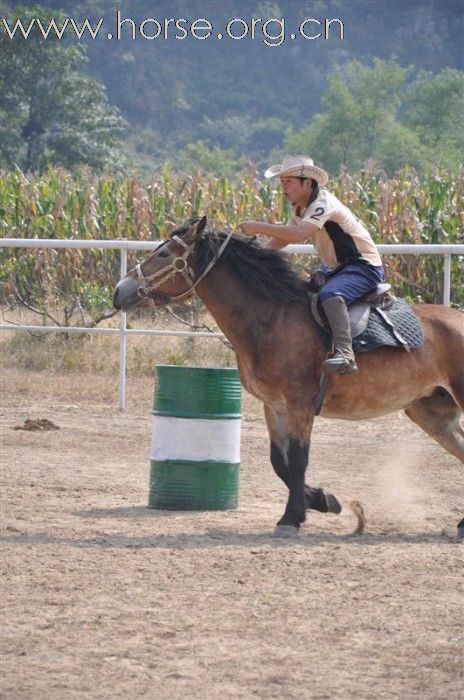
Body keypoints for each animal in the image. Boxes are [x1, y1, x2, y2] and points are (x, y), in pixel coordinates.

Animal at [113, 217, 464, 536]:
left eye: (163, 254)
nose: (119, 290)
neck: (272, 319)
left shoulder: (299, 406)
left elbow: (297, 460)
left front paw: (291, 518)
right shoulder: (274, 406)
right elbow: (279, 462)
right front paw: (324, 500)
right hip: (431, 412)